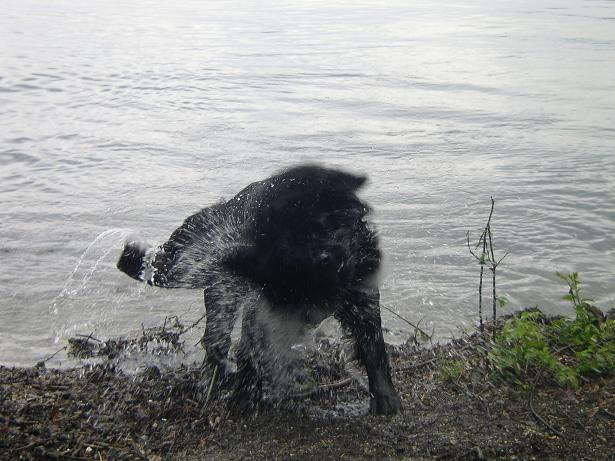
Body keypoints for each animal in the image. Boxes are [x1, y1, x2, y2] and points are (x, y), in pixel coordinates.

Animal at [117, 164, 401, 415]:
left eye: (333, 221)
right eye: (294, 233)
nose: (325, 257)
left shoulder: (362, 297)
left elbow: (374, 348)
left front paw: (385, 397)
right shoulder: (260, 305)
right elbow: (250, 351)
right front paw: (246, 397)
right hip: (223, 296)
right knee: (216, 342)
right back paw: (213, 384)